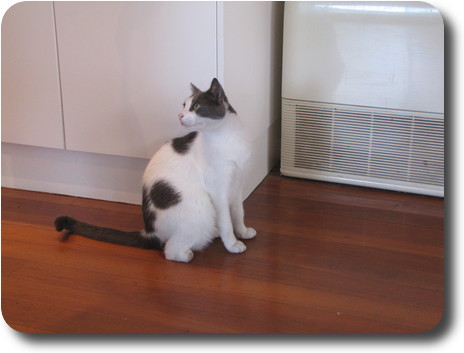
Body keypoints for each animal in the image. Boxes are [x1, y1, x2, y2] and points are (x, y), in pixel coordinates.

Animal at [55, 79, 258, 262]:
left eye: (196, 105)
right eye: (184, 105)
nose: (179, 115)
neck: (225, 137)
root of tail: (150, 231)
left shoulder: (237, 185)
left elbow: (238, 212)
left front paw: (243, 232)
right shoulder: (218, 191)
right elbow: (226, 222)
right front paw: (232, 244)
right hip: (201, 207)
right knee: (170, 249)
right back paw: (188, 253)